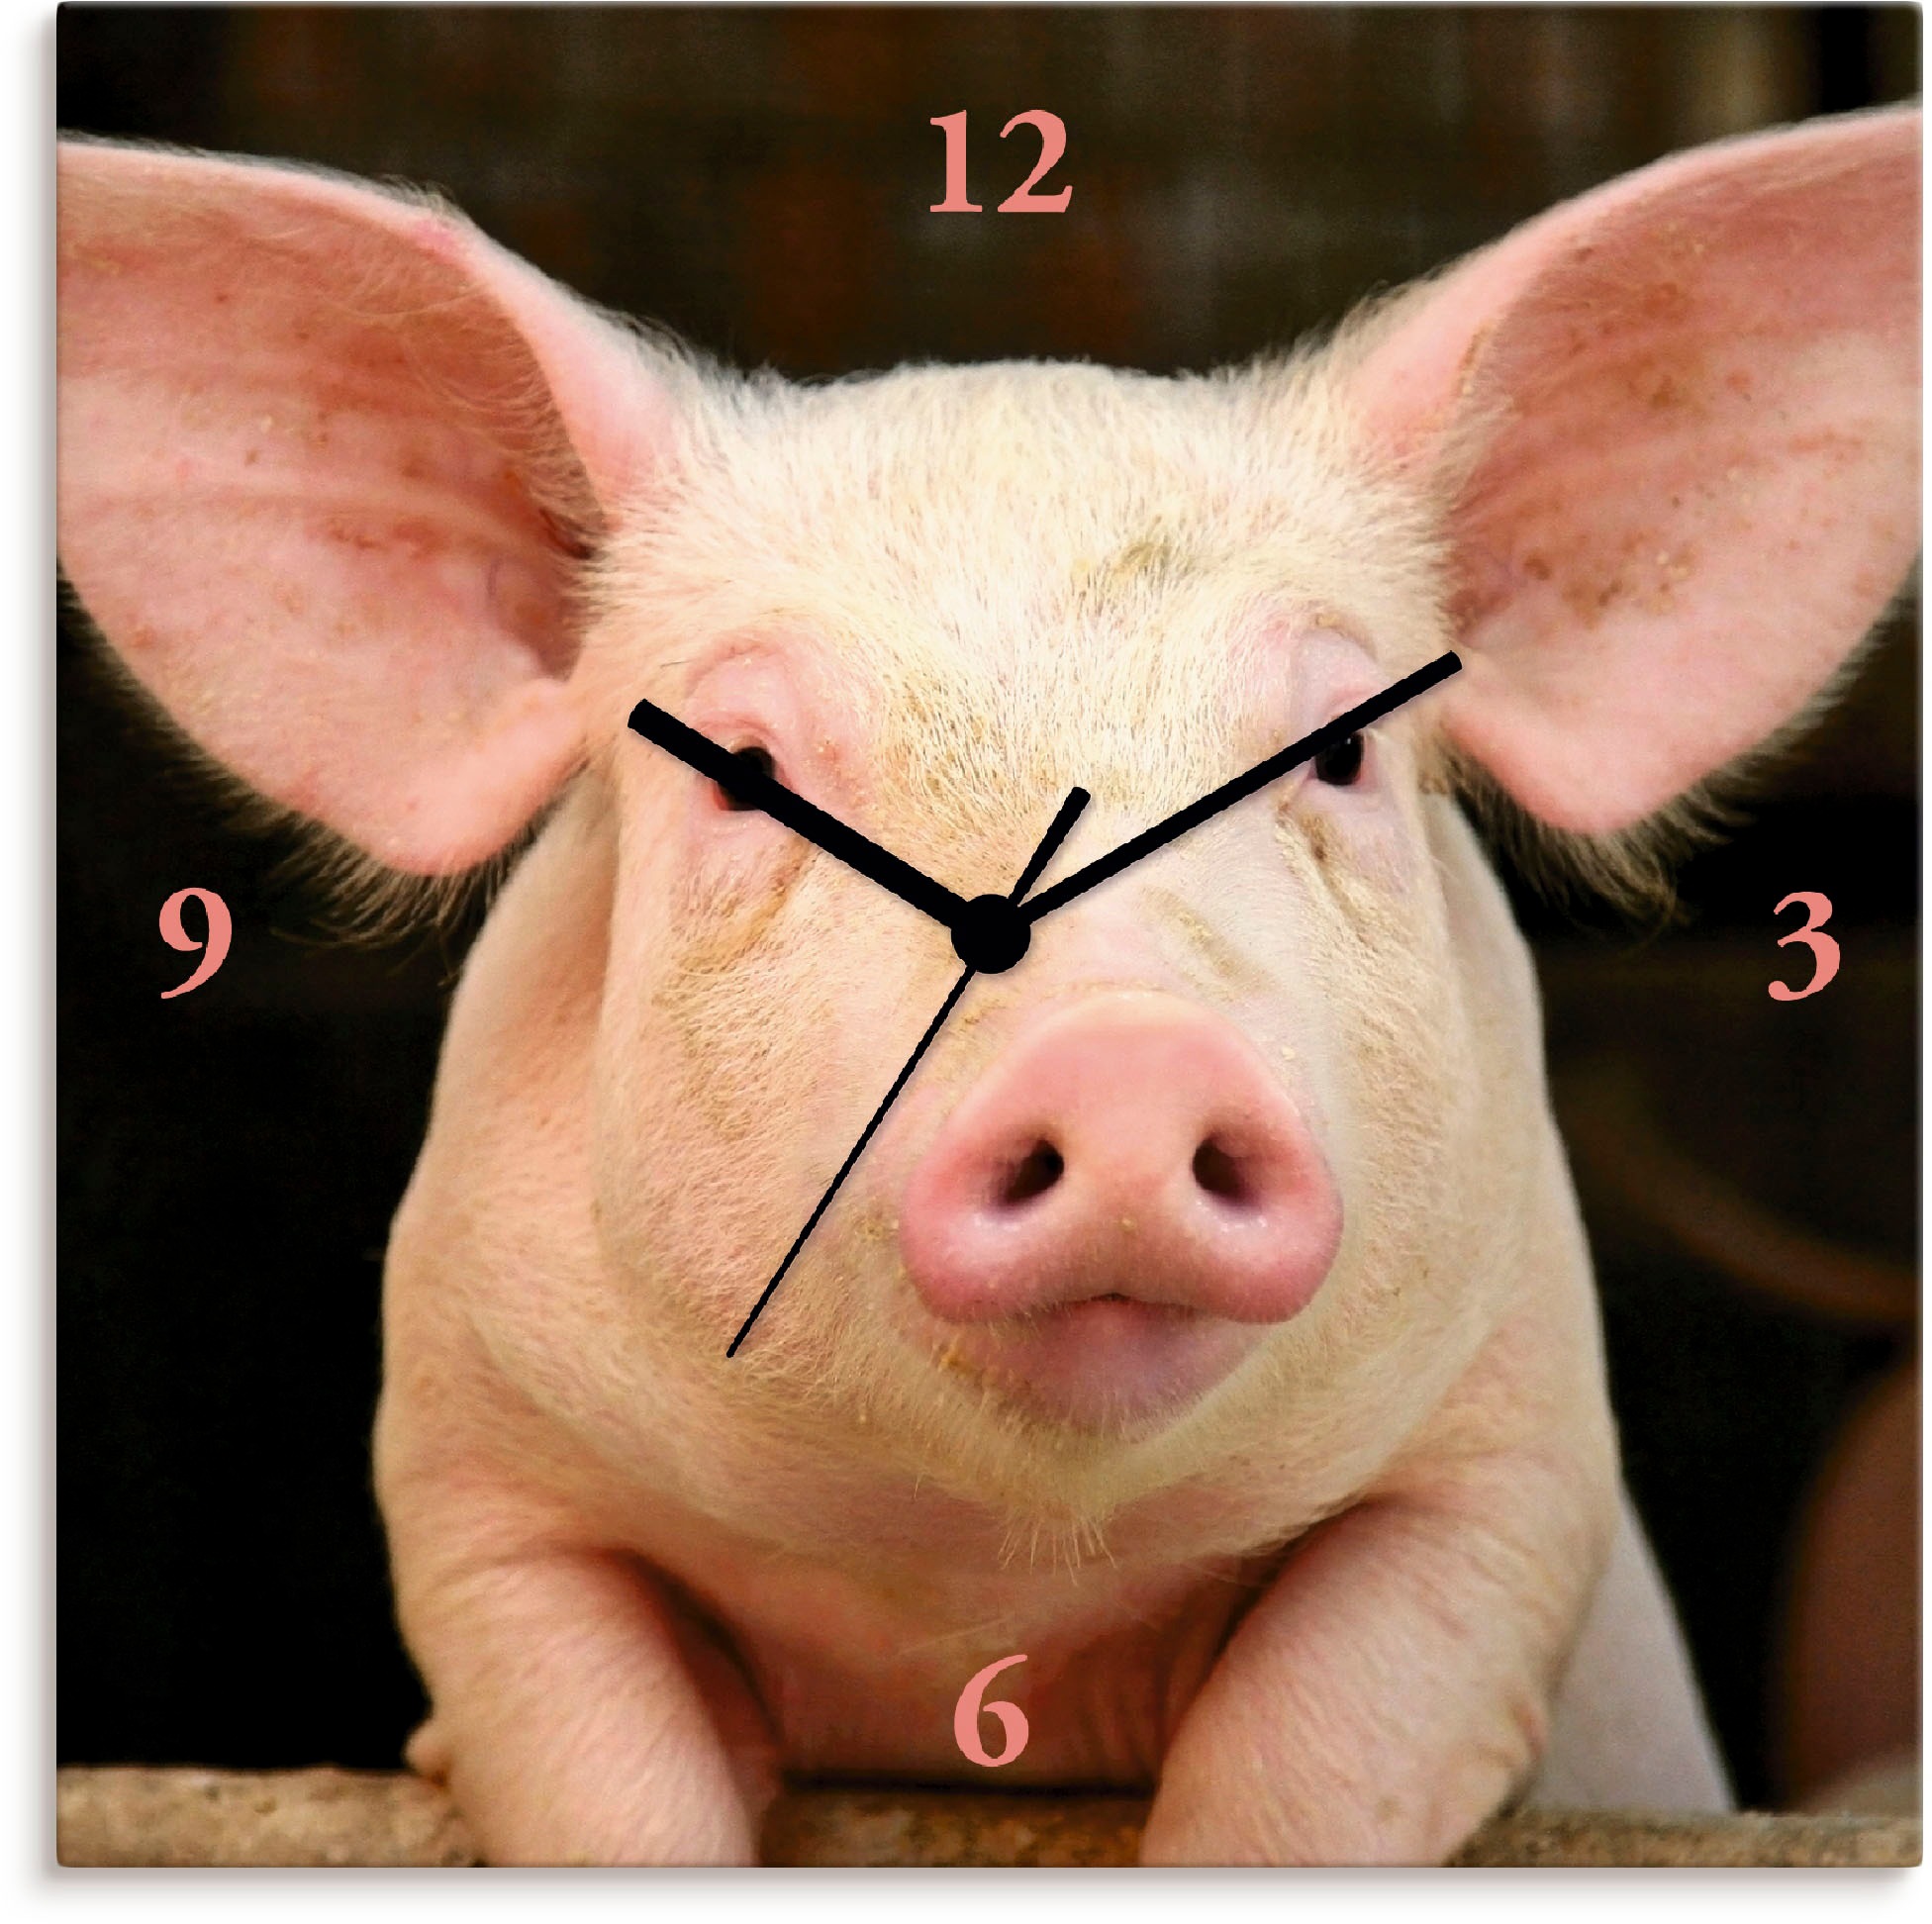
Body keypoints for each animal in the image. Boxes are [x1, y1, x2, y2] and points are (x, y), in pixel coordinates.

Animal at [56, 106, 1918, 1865]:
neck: (984, 1595)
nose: (1122, 1058)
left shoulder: (1514, 1455)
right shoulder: (472, 1466)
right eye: (743, 772)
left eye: (1338, 748)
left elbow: (1321, 1743)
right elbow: (596, 1761)